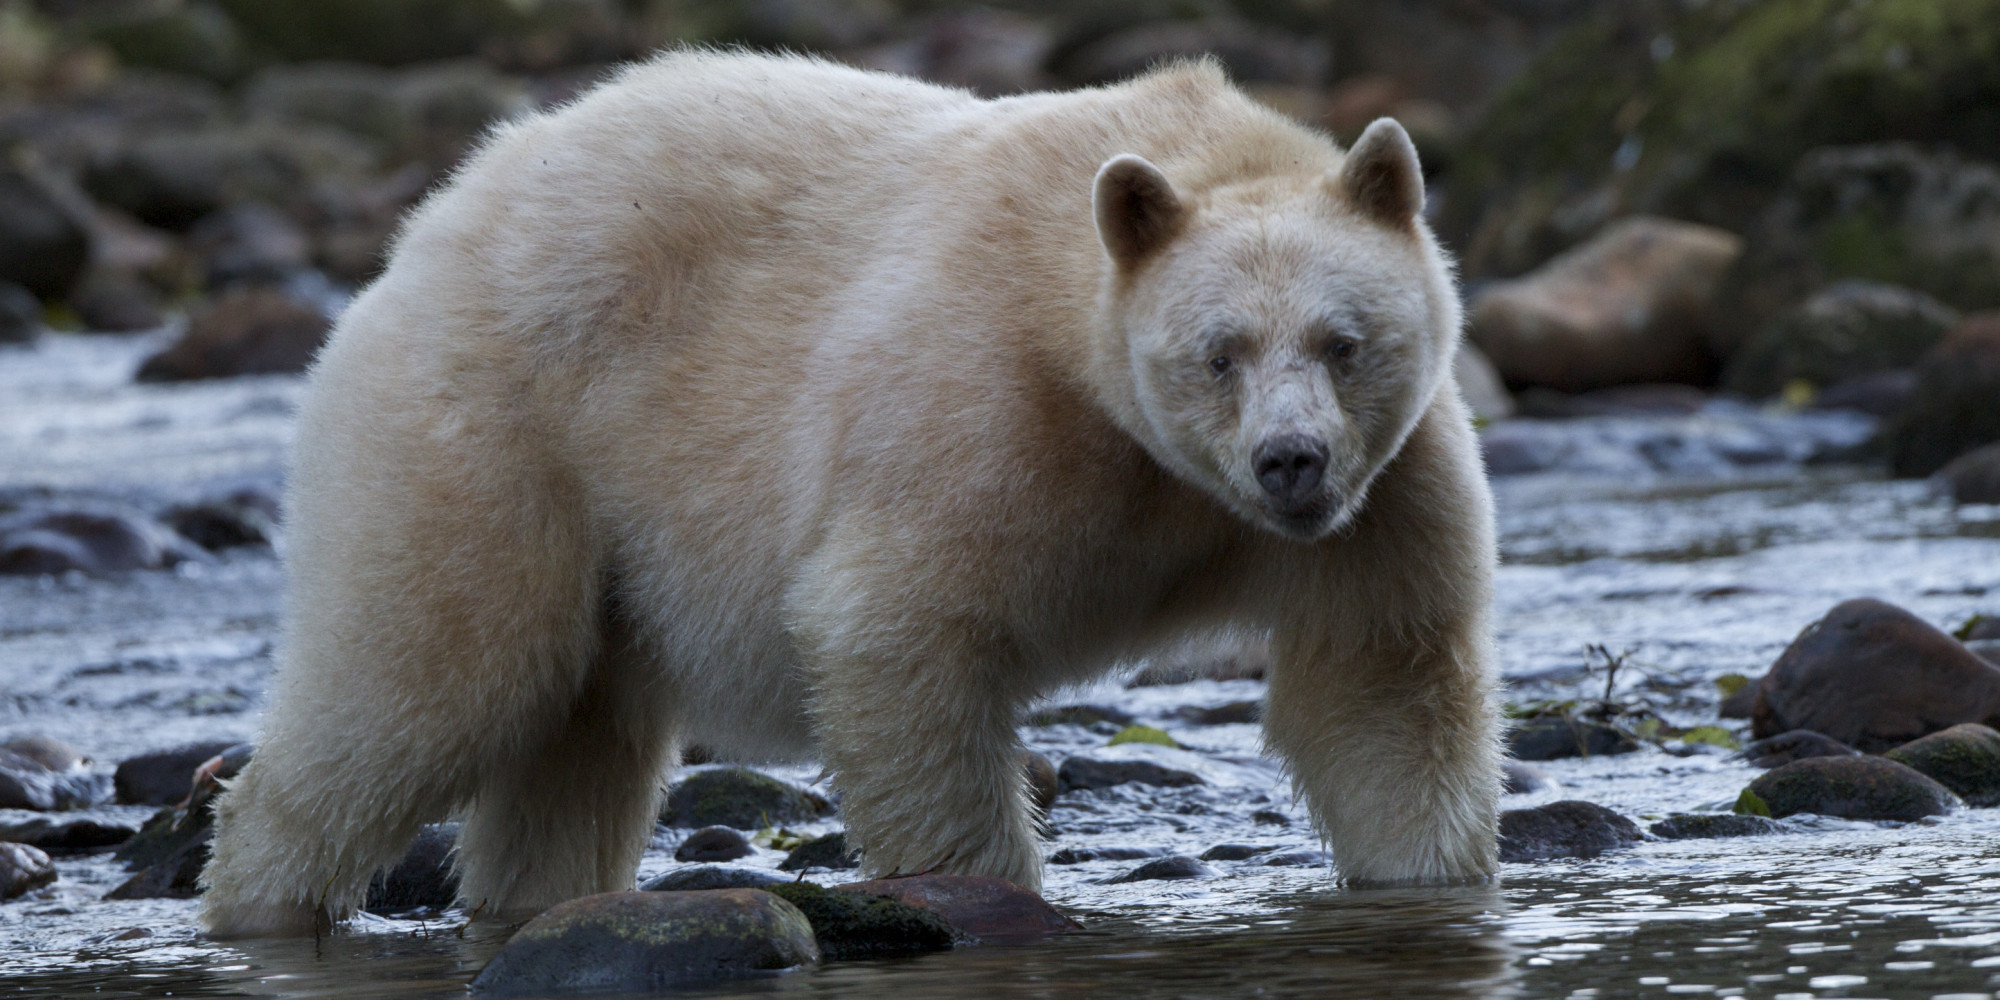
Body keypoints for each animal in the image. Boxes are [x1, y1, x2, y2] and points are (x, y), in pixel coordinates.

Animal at [199, 48, 1504, 936]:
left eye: (1342, 341)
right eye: (1216, 352)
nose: (1290, 461)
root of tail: (426, 226)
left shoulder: (1381, 496)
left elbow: (1377, 686)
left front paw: (1425, 882)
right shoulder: (983, 408)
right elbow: (895, 628)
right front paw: (980, 889)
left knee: (573, 743)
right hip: (490, 438)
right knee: (432, 675)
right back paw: (264, 893)